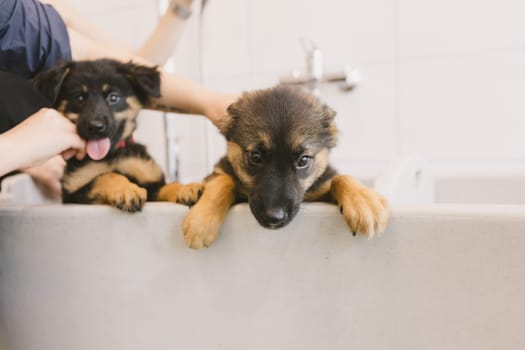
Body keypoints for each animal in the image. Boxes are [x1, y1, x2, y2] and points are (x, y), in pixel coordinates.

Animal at [32, 59, 198, 212]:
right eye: (79, 97)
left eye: (113, 97)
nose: (96, 127)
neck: (111, 155)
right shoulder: (73, 192)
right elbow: (106, 176)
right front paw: (126, 190)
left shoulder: (152, 183)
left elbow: (167, 186)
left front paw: (185, 188)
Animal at [176, 85, 388, 249]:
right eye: (255, 157)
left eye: (303, 160)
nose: (274, 217)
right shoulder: (222, 170)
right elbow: (223, 180)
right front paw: (202, 222)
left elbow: (340, 177)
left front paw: (364, 201)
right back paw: (189, 189)